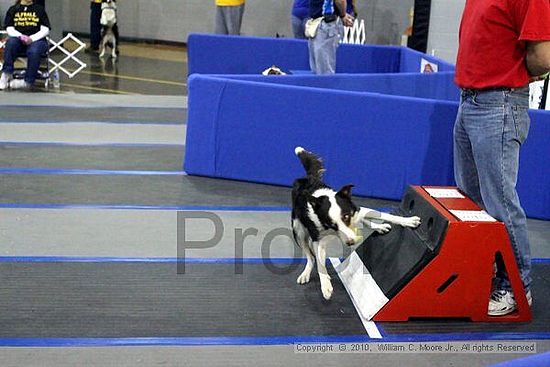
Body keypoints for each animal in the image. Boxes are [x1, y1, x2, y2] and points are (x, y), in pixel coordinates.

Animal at [294, 148, 422, 300]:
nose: (350, 242)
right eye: (330, 224)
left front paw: (408, 221)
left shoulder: (355, 211)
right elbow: (319, 263)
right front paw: (325, 286)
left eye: (345, 216)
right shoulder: (318, 239)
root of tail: (307, 179)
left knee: (364, 220)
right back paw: (306, 273)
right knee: (310, 257)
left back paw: (379, 227)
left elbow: (387, 216)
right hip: (298, 230)